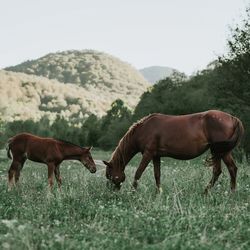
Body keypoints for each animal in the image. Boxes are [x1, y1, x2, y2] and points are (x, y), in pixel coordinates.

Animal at [103, 110, 244, 193]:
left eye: (109, 175)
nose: (112, 192)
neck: (144, 129)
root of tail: (233, 118)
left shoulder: (148, 154)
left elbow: (138, 173)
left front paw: (133, 192)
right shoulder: (156, 156)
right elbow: (157, 175)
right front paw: (158, 193)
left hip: (219, 152)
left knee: (220, 170)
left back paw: (208, 191)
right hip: (222, 152)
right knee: (230, 169)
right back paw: (229, 192)